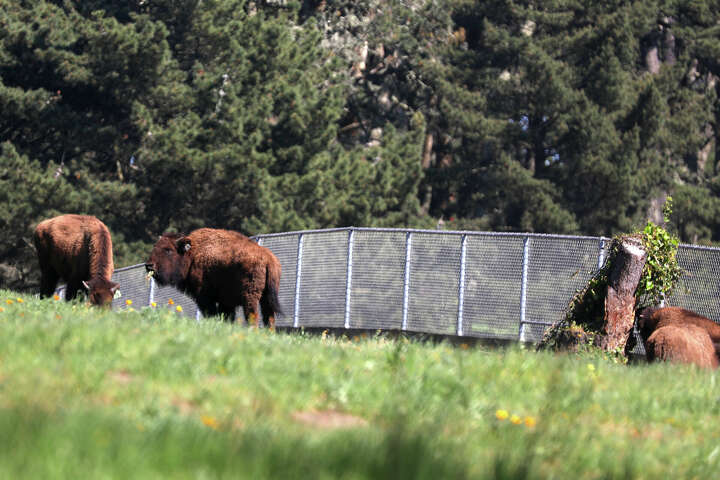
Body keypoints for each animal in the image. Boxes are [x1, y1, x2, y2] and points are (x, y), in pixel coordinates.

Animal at [145, 228, 282, 326]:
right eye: (154, 247)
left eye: (168, 250)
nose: (149, 265)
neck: (193, 254)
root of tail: (268, 258)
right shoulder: (225, 302)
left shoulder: (204, 298)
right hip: (266, 298)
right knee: (269, 318)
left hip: (250, 297)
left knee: (253, 316)